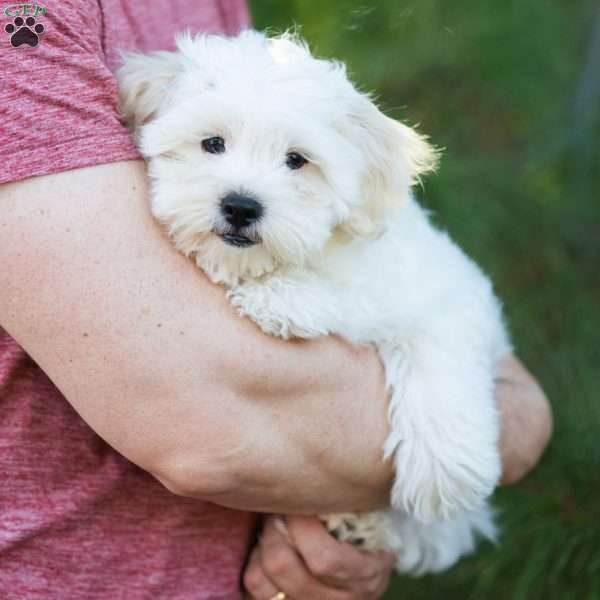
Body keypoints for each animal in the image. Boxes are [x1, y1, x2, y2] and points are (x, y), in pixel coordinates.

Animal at [118, 30, 510, 576]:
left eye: (297, 160)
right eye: (213, 143)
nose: (240, 206)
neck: (315, 259)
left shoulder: (451, 292)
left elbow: (436, 358)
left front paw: (446, 472)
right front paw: (284, 297)